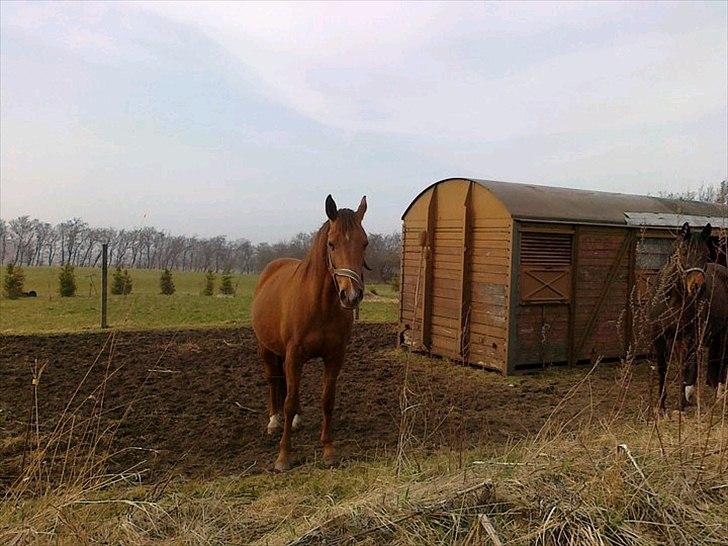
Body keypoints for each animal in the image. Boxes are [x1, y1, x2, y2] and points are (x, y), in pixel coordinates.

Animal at [252, 194, 370, 468]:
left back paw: (296, 420)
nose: (351, 295)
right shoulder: (294, 355)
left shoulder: (334, 356)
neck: (320, 305)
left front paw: (328, 449)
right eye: (331, 244)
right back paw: (273, 421)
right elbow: (288, 401)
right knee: (273, 381)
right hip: (267, 350)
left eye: (365, 243)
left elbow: (327, 400)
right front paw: (284, 455)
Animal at [652, 221, 724, 408]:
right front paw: (661, 405)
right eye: (684, 251)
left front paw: (681, 404)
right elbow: (663, 368)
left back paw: (719, 393)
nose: (698, 287)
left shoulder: (687, 337)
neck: (673, 300)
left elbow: (684, 369)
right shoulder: (660, 337)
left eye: (706, 253)